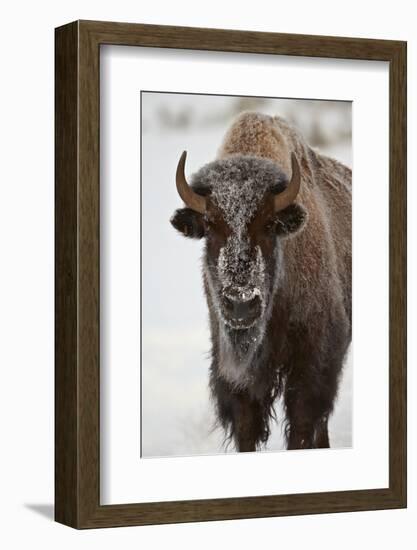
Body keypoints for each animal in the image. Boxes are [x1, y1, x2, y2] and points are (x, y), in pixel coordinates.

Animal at [171, 112, 350, 452]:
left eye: (269, 225)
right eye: (210, 225)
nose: (241, 304)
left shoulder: (312, 365)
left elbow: (302, 427)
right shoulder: (234, 376)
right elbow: (246, 429)